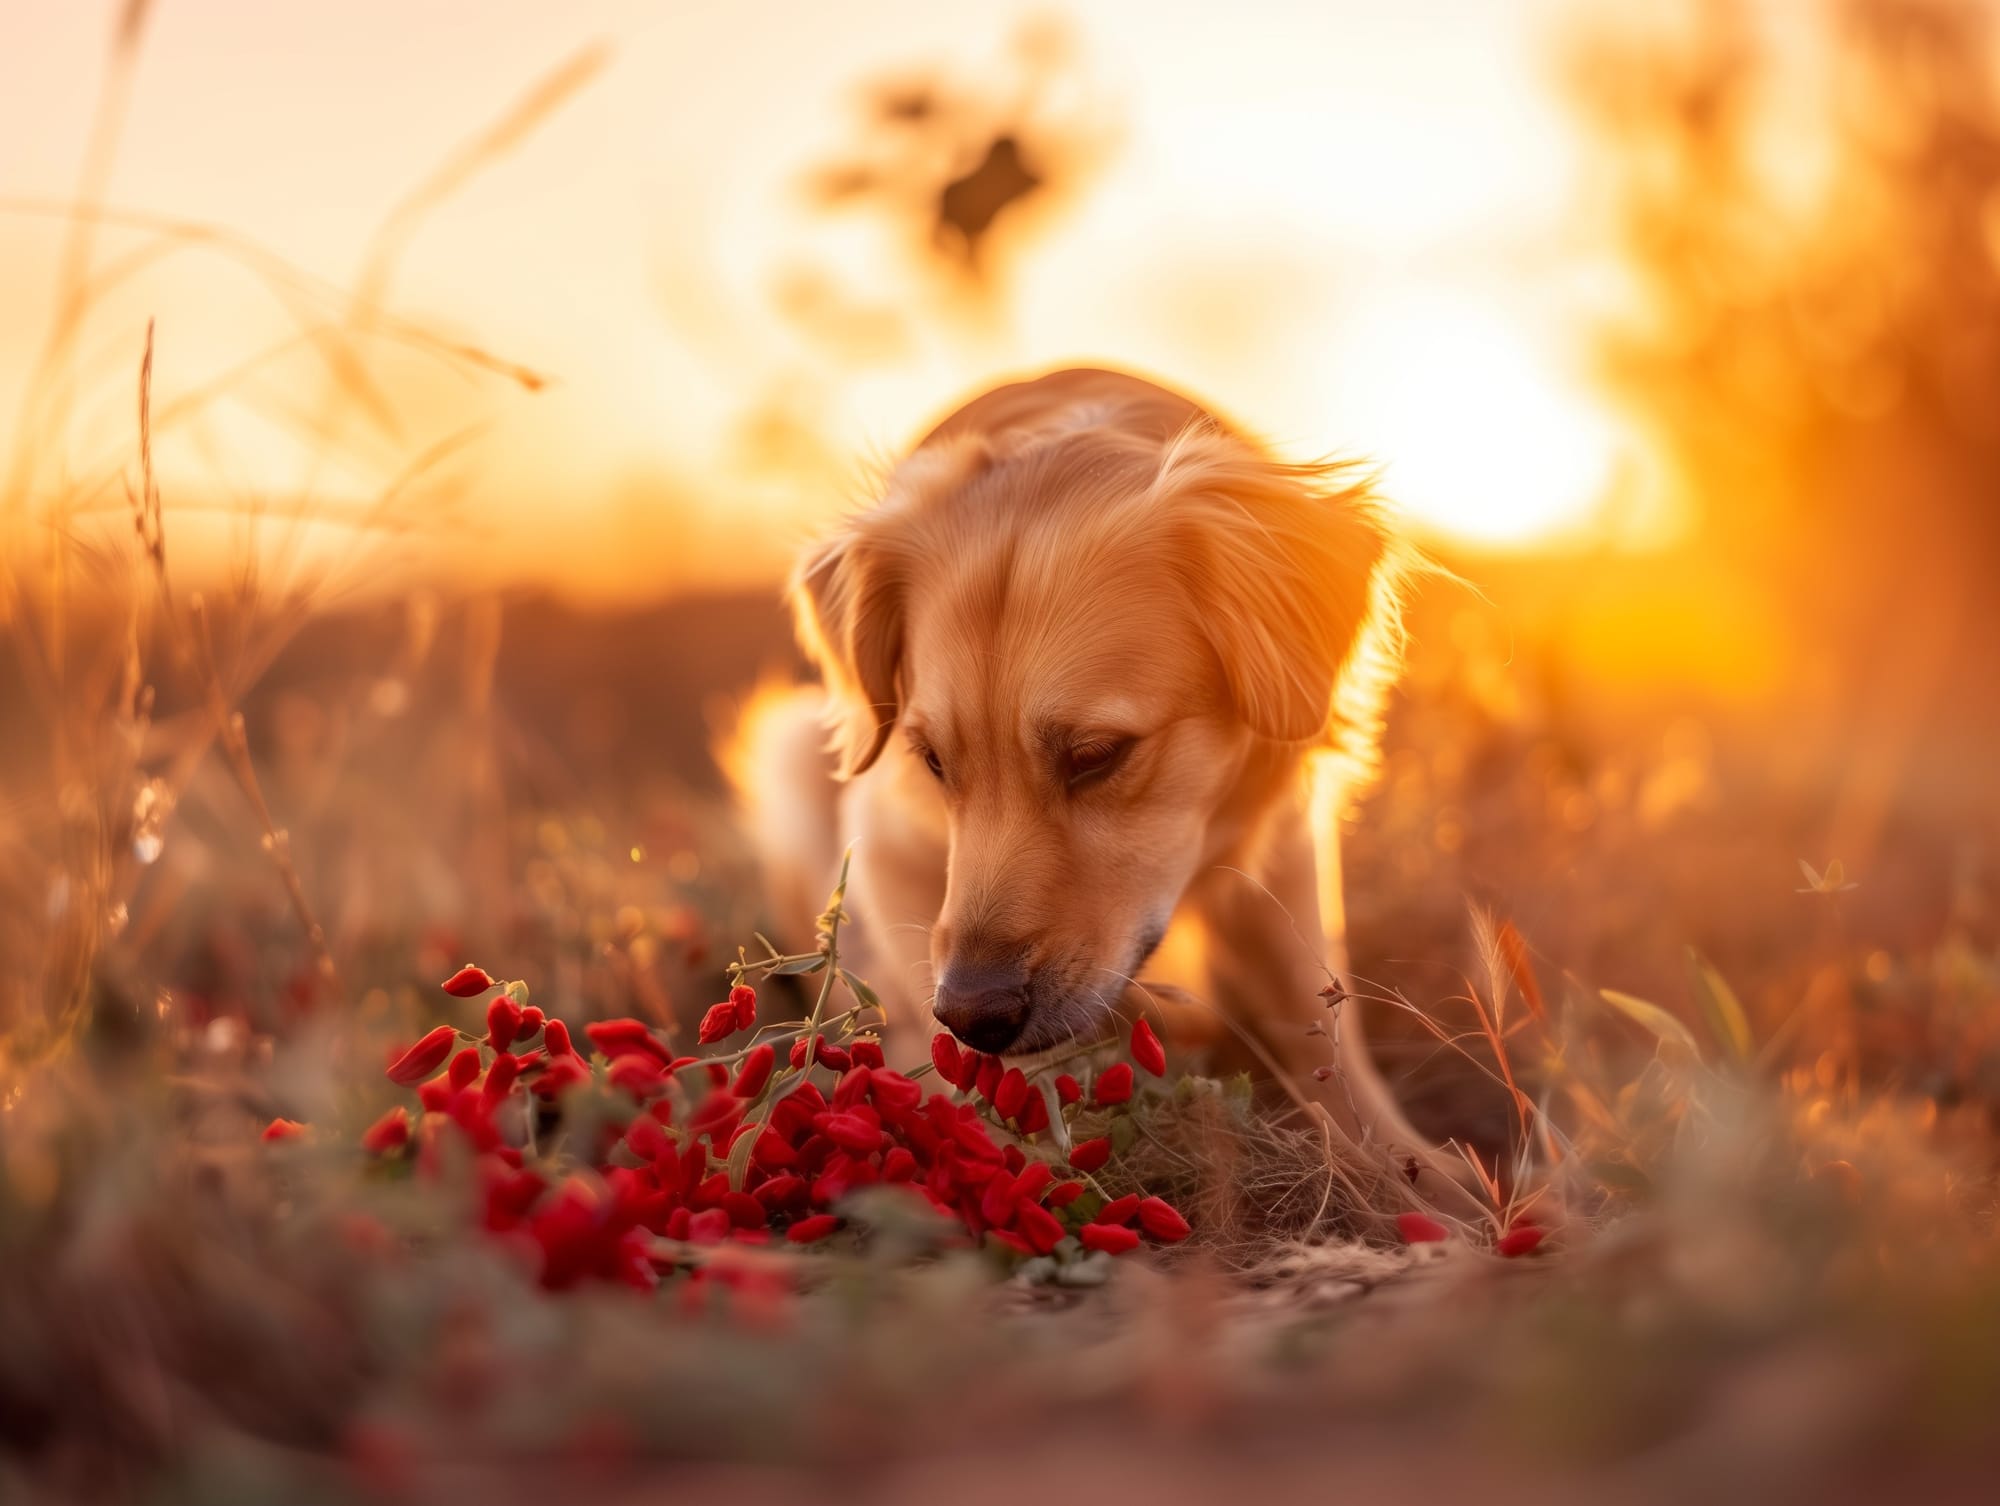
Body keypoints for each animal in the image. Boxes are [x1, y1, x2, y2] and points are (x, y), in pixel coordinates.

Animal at [736, 368, 1472, 1200]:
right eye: (932, 761)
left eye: (1096, 755)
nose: (973, 1014)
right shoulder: (887, 842)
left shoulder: (1284, 833)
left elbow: (1309, 1006)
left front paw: (1413, 1173)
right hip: (792, 746)